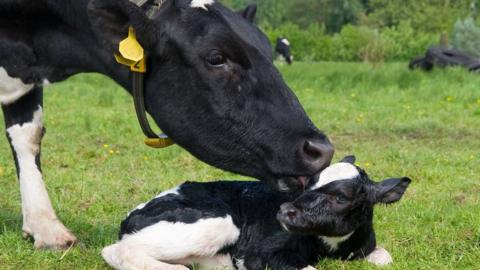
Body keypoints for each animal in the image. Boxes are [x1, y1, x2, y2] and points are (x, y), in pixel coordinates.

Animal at [103, 156, 410, 270]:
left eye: (340, 197)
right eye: (309, 183)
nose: (285, 210)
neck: (330, 248)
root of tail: (131, 215)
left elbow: (385, 257)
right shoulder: (259, 255)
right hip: (219, 224)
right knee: (117, 250)